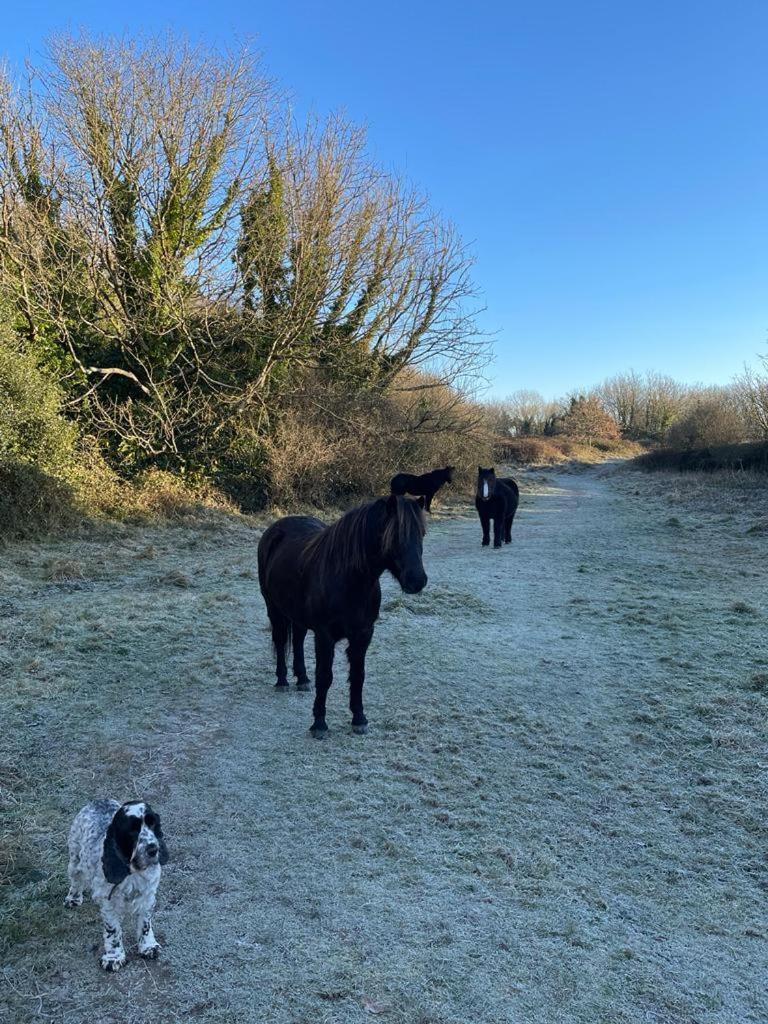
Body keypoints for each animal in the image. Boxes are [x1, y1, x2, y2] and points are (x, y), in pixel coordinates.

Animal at [65, 798, 168, 966]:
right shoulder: (108, 902)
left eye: (153, 824)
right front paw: (114, 957)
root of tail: (100, 800)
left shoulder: (148, 896)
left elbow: (145, 924)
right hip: (75, 857)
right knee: (76, 879)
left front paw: (149, 947)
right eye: (132, 830)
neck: (133, 871)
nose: (153, 849)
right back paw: (73, 899)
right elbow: (112, 929)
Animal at [257, 495, 428, 737]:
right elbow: (324, 676)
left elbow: (358, 676)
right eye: (394, 535)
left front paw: (359, 719)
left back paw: (302, 679)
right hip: (273, 607)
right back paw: (282, 681)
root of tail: (274, 530)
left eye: (421, 533)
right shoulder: (325, 636)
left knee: (297, 640)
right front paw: (319, 723)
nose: (417, 581)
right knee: (281, 641)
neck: (349, 580)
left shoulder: (363, 634)